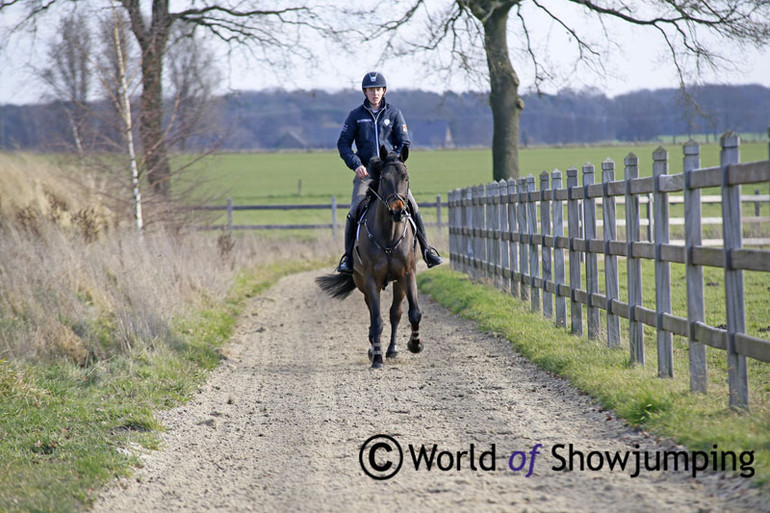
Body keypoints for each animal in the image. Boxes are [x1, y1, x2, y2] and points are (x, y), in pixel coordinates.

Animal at [316, 144, 426, 368]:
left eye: (406, 178)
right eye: (383, 178)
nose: (397, 212)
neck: (388, 236)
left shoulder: (407, 274)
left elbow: (414, 312)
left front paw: (415, 344)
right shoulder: (370, 280)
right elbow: (376, 320)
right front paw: (376, 358)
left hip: (398, 283)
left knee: (395, 313)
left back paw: (392, 349)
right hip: (362, 284)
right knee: (373, 315)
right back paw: (374, 348)